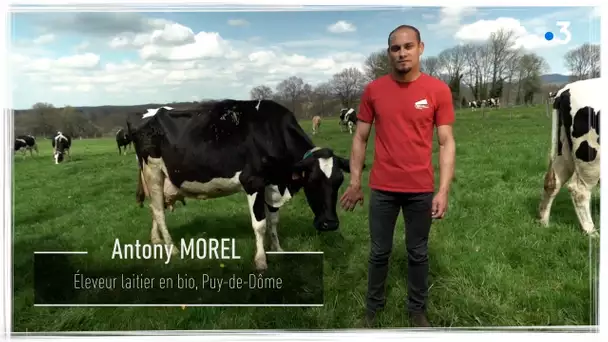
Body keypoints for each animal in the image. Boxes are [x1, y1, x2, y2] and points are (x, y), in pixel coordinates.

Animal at [128, 99, 356, 272]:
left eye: (339, 181)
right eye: (312, 180)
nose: (329, 224)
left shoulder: (272, 184)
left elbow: (273, 221)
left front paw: (277, 249)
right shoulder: (253, 182)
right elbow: (260, 224)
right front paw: (261, 260)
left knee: (154, 207)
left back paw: (156, 241)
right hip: (153, 171)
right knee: (159, 210)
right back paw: (172, 248)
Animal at [540, 78, 600, 236]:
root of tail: (564, 90)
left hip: (564, 150)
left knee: (552, 182)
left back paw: (543, 222)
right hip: (592, 157)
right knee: (579, 190)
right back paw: (591, 232)